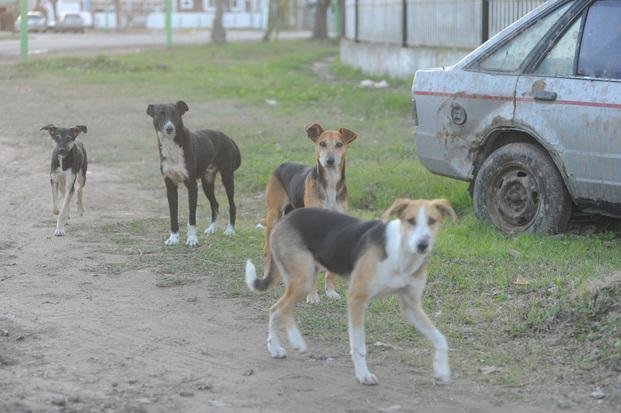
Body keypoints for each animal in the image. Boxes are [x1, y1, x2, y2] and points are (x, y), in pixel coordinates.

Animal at [147, 101, 241, 246]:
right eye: (160, 114)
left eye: (175, 114)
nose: (169, 128)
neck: (172, 147)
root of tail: (228, 138)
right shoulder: (170, 186)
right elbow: (173, 216)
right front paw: (173, 238)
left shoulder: (192, 186)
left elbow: (192, 217)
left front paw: (192, 239)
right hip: (207, 182)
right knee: (215, 204)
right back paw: (212, 228)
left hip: (227, 178)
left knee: (232, 205)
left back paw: (230, 230)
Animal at [243, 198, 456, 384]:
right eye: (410, 221)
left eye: (432, 221)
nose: (422, 245)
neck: (401, 253)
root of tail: (286, 218)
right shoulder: (357, 298)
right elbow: (359, 345)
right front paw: (363, 375)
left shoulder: (411, 306)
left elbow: (441, 339)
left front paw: (442, 371)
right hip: (304, 280)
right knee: (278, 309)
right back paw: (289, 343)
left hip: (303, 279)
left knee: (278, 309)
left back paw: (280, 346)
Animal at [262, 122, 358, 302]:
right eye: (322, 144)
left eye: (339, 144)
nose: (329, 161)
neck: (330, 184)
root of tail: (283, 164)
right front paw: (312, 295)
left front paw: (330, 291)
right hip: (274, 215)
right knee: (266, 250)